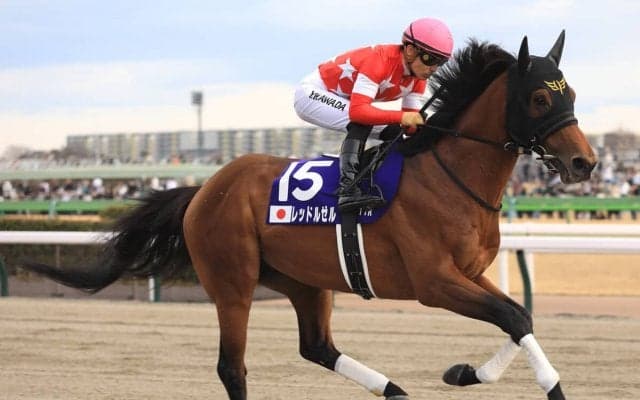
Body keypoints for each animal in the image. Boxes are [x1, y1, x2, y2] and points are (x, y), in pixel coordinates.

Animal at [23, 32, 596, 400]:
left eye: (571, 92)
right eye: (540, 97)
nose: (584, 162)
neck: (448, 174)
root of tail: (207, 187)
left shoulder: (471, 274)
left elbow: (518, 316)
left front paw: (462, 373)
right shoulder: (434, 282)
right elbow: (514, 318)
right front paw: (546, 387)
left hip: (303, 278)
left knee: (317, 346)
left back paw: (394, 390)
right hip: (232, 283)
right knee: (232, 367)